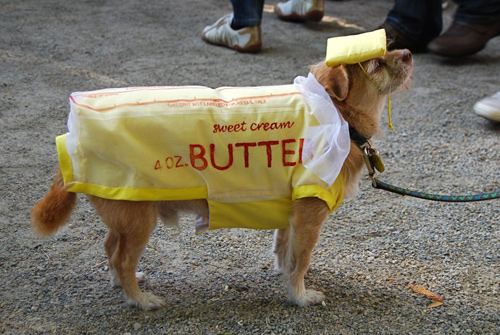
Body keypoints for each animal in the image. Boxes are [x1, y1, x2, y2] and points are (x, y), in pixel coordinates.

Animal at [32, 48, 414, 312]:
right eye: (376, 64)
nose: (409, 52)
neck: (335, 115)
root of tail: (72, 138)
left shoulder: (291, 208)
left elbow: (285, 247)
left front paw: (284, 275)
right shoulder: (310, 214)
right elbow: (301, 258)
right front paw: (299, 295)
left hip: (127, 213)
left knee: (110, 248)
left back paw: (121, 284)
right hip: (140, 220)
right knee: (123, 258)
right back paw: (139, 300)